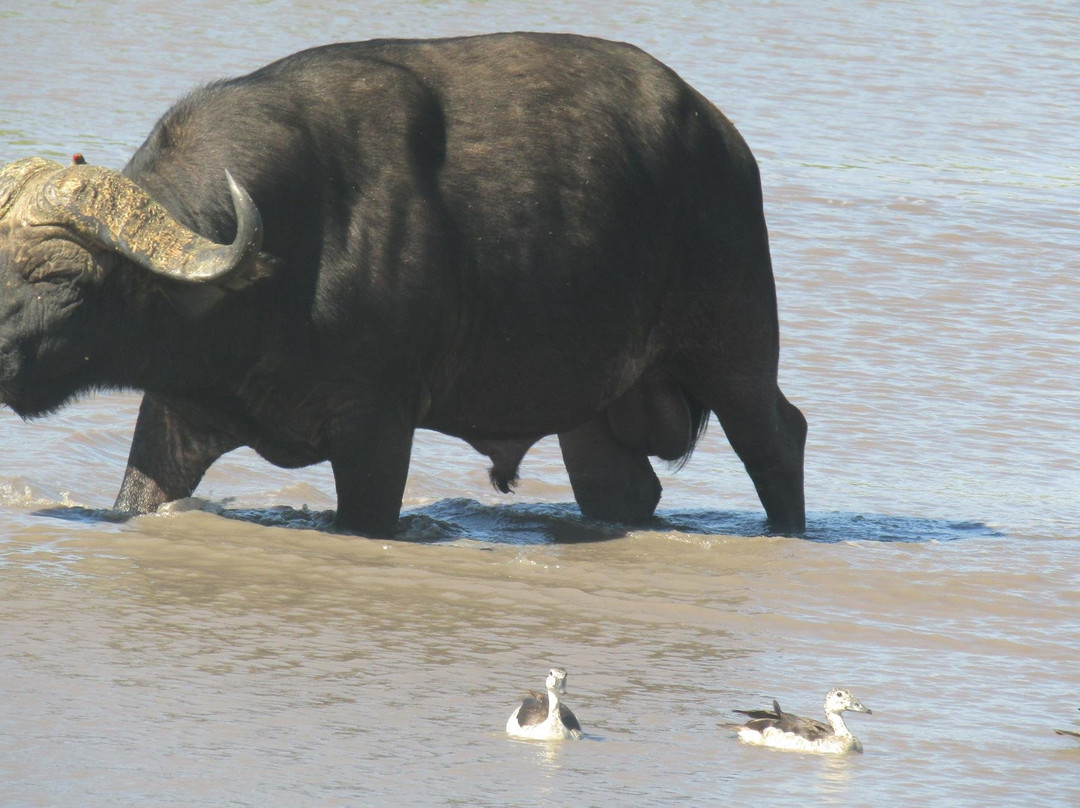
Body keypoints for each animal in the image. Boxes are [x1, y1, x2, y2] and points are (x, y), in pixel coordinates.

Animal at [0, 33, 807, 535]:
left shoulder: (376, 430)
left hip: (735, 350)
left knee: (778, 439)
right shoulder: (176, 415)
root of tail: (726, 143)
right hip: (593, 409)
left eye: (60, 276)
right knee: (625, 488)